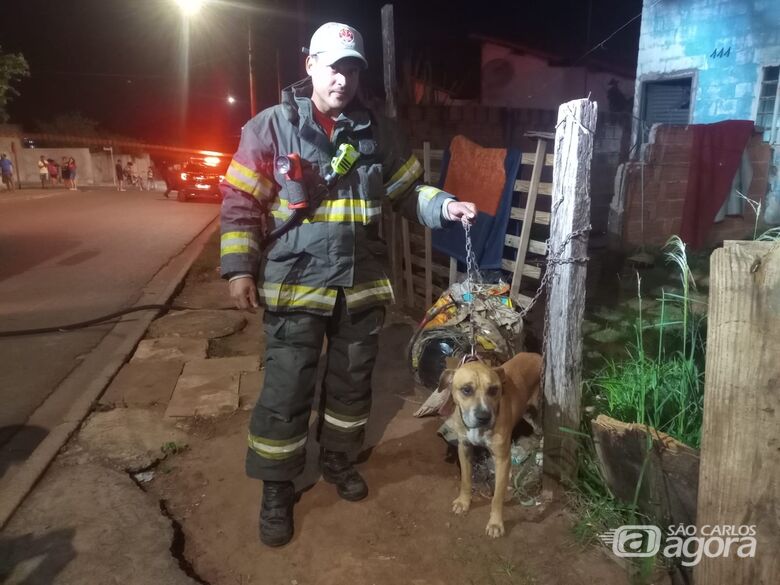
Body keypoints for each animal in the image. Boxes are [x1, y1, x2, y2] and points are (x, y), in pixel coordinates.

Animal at [438, 352, 544, 540]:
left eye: (494, 390)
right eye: (466, 390)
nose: (484, 417)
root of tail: (535, 354)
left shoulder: (501, 458)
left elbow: (497, 497)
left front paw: (495, 523)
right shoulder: (464, 449)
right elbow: (466, 480)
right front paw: (464, 502)